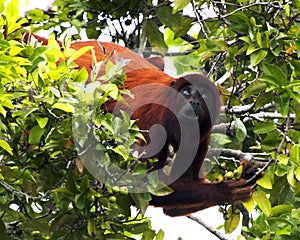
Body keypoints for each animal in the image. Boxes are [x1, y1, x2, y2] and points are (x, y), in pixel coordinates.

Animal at [25, 34, 256, 218]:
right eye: (188, 92)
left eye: (205, 97)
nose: (194, 102)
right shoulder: (153, 117)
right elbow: (140, 184)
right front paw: (225, 190)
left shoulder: (202, 133)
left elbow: (172, 205)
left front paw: (245, 176)